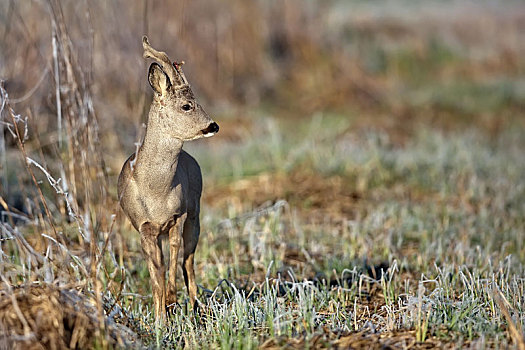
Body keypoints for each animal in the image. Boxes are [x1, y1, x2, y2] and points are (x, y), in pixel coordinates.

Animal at [117, 36, 218, 322]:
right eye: (186, 105)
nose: (213, 126)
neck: (156, 191)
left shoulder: (179, 215)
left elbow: (175, 259)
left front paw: (173, 302)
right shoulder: (143, 226)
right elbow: (156, 274)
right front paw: (160, 317)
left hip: (195, 215)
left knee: (188, 261)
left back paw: (196, 308)